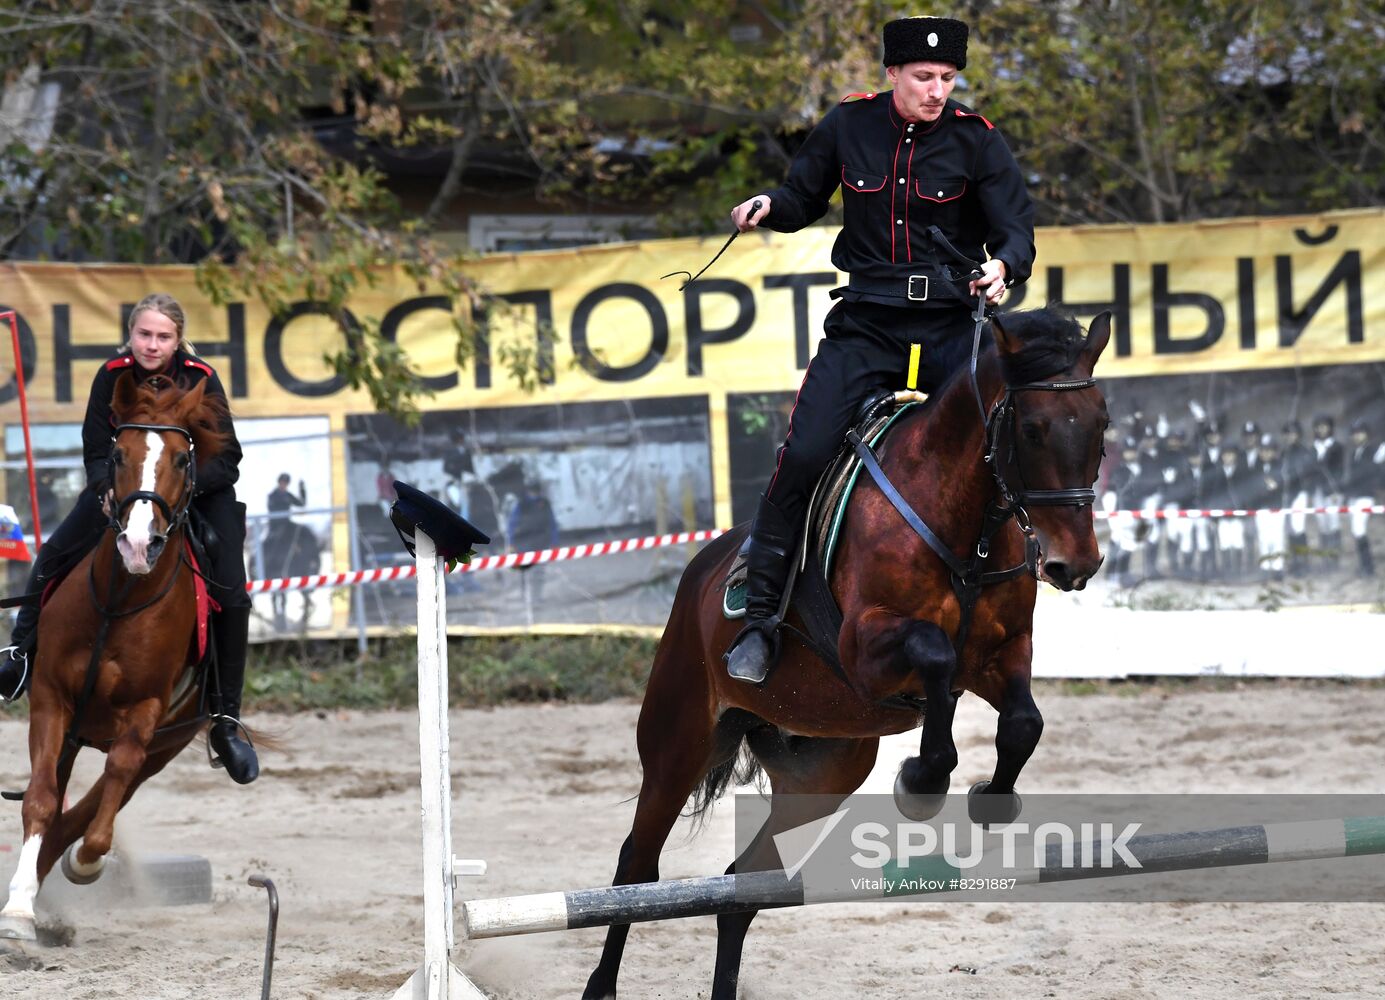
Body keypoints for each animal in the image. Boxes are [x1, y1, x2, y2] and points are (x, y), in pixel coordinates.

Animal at [0, 371, 232, 936]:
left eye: (182, 459)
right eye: (119, 453)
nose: (138, 545)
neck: (119, 602)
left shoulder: (144, 714)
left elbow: (101, 805)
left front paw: (85, 863)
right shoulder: (51, 699)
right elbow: (40, 800)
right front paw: (17, 910)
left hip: (165, 744)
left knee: (99, 798)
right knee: (61, 799)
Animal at [584, 307, 1113, 991]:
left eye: (1101, 425)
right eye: (1032, 429)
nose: (1074, 565)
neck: (966, 523)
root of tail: (700, 570)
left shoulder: (1002, 655)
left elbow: (1024, 720)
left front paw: (991, 800)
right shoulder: (867, 651)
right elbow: (935, 654)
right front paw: (923, 778)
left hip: (821, 772)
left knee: (741, 887)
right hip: (679, 740)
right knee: (637, 868)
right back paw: (600, 983)